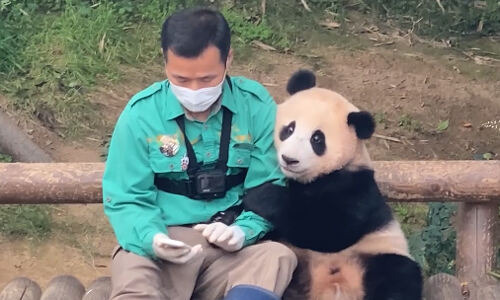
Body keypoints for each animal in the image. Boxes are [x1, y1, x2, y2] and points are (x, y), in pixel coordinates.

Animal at [242, 69, 422, 298]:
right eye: (289, 129)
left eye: (317, 139)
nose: (289, 159)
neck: (314, 178)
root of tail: (335, 288)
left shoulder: (357, 186)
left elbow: (329, 229)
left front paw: (259, 195)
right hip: (299, 260)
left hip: (377, 252)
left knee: (399, 275)